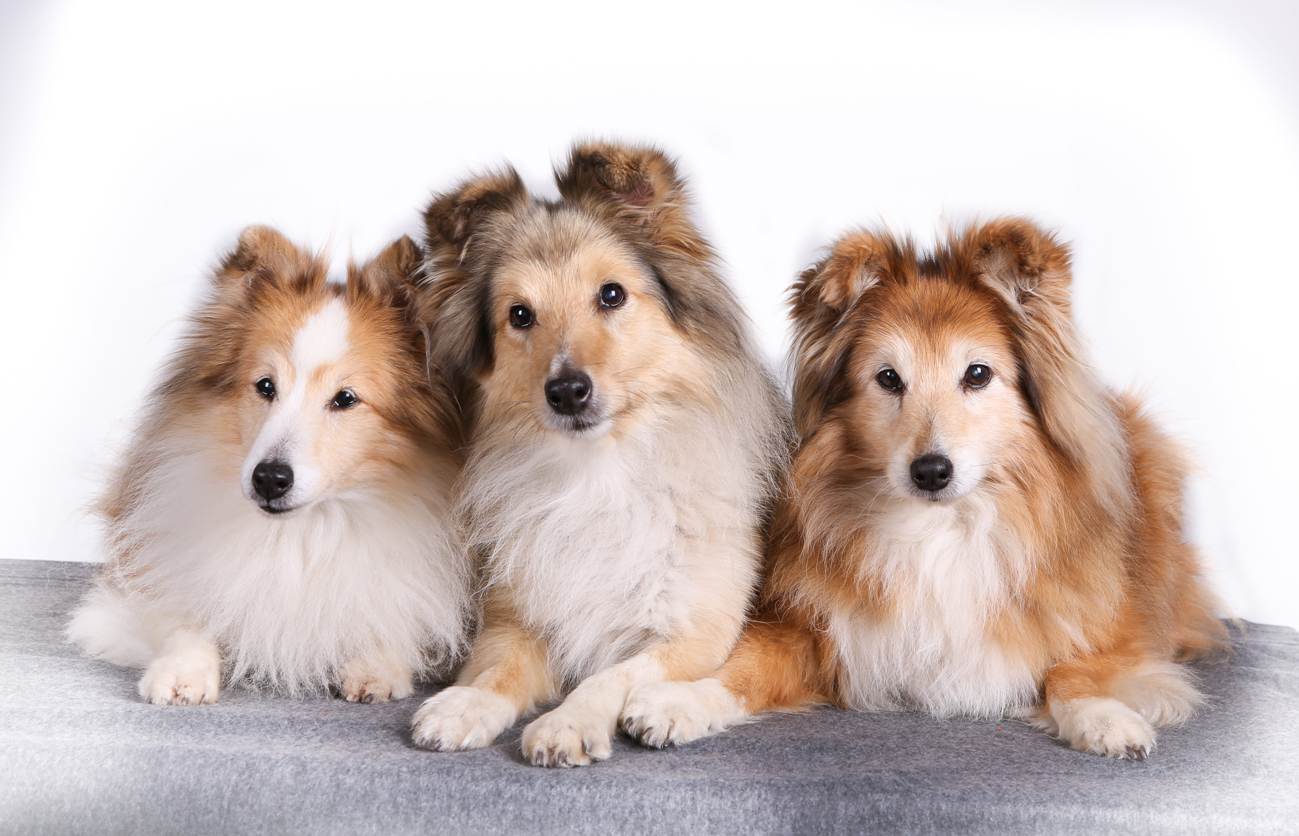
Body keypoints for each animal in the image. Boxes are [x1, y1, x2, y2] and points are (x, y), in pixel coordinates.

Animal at [67, 227, 470, 704]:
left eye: (345, 398)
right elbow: (182, 613)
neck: (303, 533)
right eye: (265, 385)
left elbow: (401, 615)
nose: (269, 480)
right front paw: (182, 672)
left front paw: (375, 667)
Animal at [408, 142, 790, 766]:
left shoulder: (696, 630)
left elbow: (611, 675)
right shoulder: (518, 617)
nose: (567, 391)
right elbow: (496, 670)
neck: (600, 472)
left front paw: (567, 723)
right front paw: (464, 705)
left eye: (612, 294)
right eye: (519, 315)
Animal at [620, 219, 1226, 758]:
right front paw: (676, 703)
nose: (932, 471)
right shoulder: (808, 628)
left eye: (977, 374)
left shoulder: (1113, 625)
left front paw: (1106, 719)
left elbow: (1077, 669)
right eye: (888, 378)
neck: (941, 527)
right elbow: (742, 669)